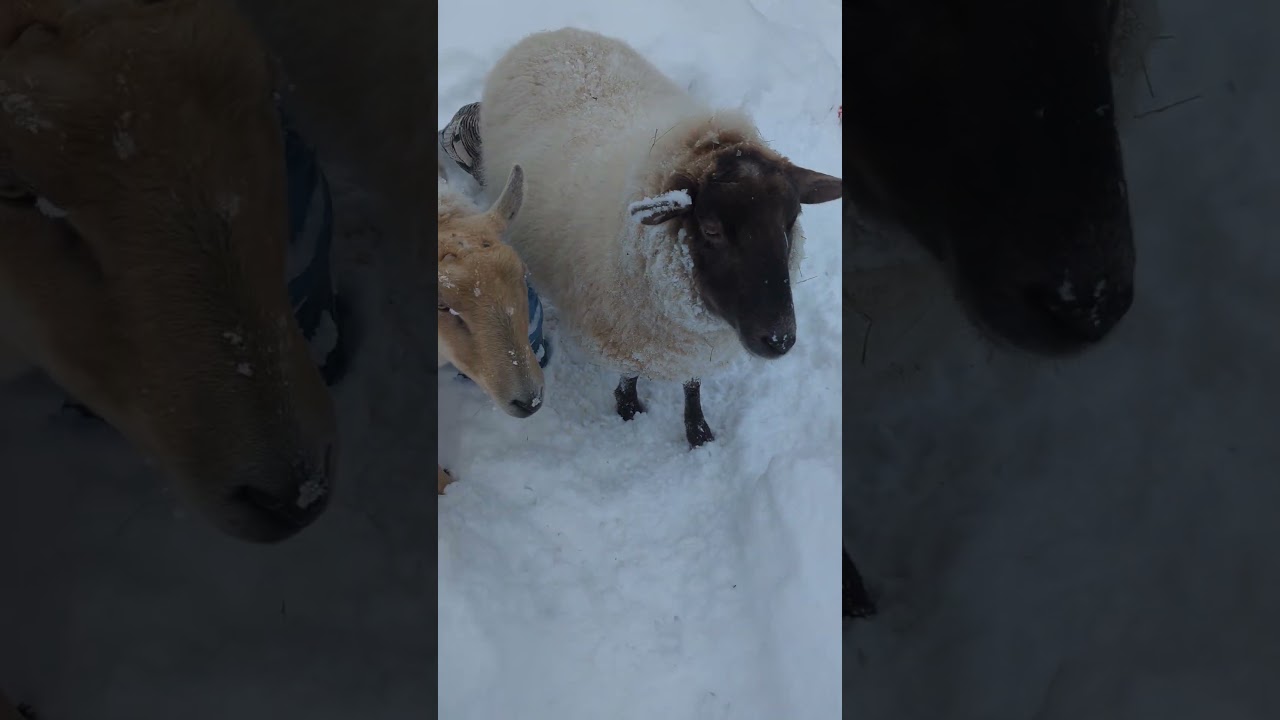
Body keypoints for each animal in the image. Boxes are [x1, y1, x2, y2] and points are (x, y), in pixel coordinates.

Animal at [471, 27, 842, 448]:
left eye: (790, 221)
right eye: (711, 229)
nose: (779, 340)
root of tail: (552, 32)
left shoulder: (690, 346)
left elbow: (692, 385)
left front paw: (697, 430)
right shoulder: (628, 336)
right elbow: (630, 374)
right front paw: (628, 407)